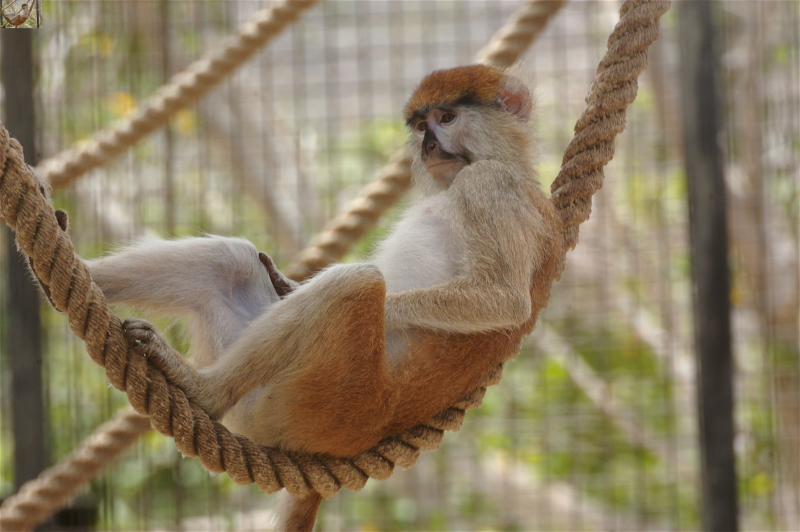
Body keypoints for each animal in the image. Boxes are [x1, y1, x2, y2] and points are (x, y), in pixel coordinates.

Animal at [84, 64, 563, 530]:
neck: (508, 163)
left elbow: (503, 299)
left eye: (446, 118)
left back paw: (202, 390)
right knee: (230, 260)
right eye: (419, 125)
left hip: (322, 400)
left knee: (357, 283)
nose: (428, 145)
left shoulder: (491, 186)